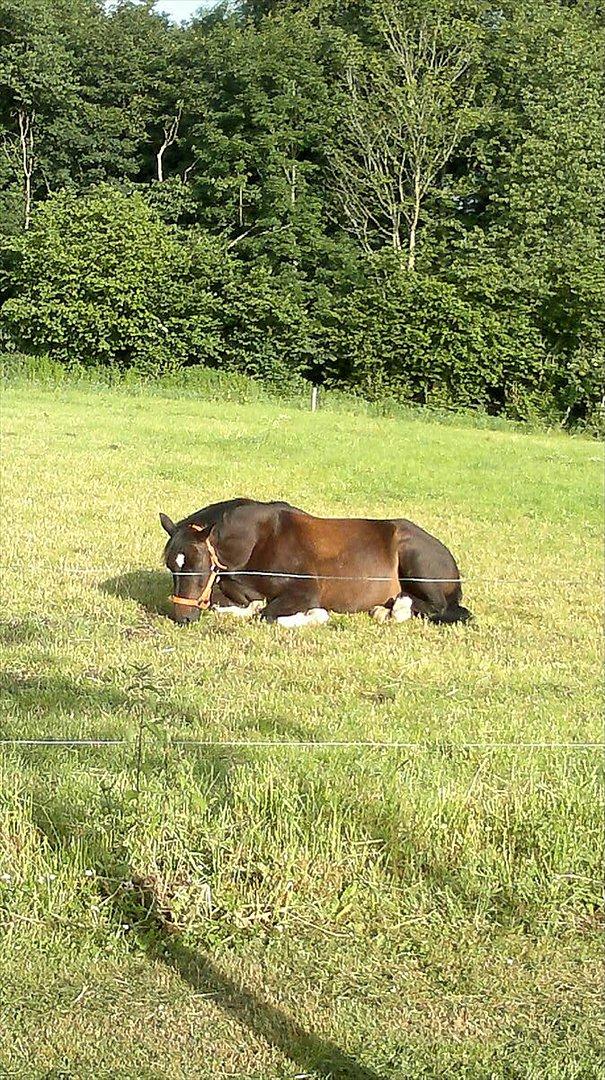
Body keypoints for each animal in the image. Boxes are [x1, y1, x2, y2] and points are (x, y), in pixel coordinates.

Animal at [158, 494, 471, 626]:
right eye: (172, 566)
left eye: (199, 566)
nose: (183, 618)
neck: (259, 541)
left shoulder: (305, 591)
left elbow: (268, 615)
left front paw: (315, 615)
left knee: (446, 609)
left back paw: (395, 610)